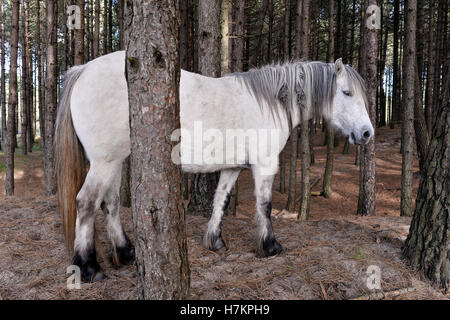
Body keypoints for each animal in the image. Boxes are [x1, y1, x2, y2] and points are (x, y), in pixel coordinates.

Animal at [55, 48, 372, 282]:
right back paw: (88, 268)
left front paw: (214, 241)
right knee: (86, 203)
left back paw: (125, 252)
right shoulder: (264, 164)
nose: (367, 133)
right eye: (346, 92)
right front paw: (270, 246)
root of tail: (83, 70)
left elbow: (220, 200)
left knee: (109, 203)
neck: (268, 102)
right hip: (105, 161)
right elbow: (265, 205)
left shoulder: (232, 167)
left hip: (116, 160)